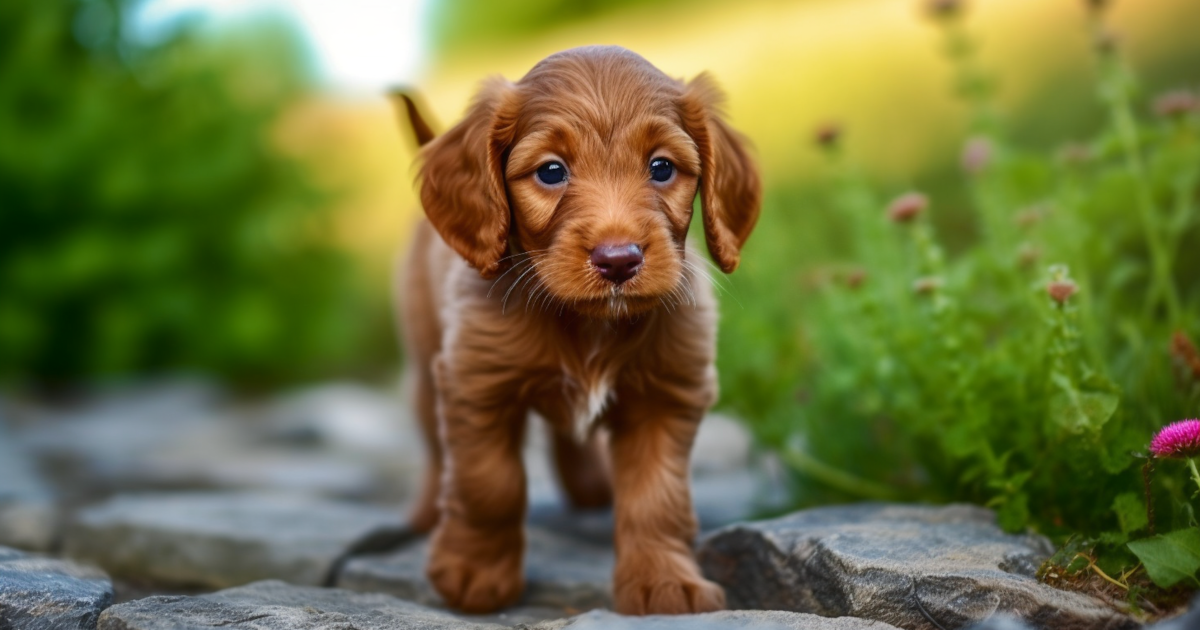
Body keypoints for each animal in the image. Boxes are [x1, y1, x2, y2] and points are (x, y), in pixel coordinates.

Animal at [400, 45, 758, 614]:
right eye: (551, 171)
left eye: (661, 167)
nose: (619, 260)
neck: (589, 324)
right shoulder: (476, 382)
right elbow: (488, 483)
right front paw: (472, 572)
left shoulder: (666, 395)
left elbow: (658, 498)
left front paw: (664, 582)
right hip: (423, 357)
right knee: (437, 448)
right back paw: (426, 514)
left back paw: (590, 483)